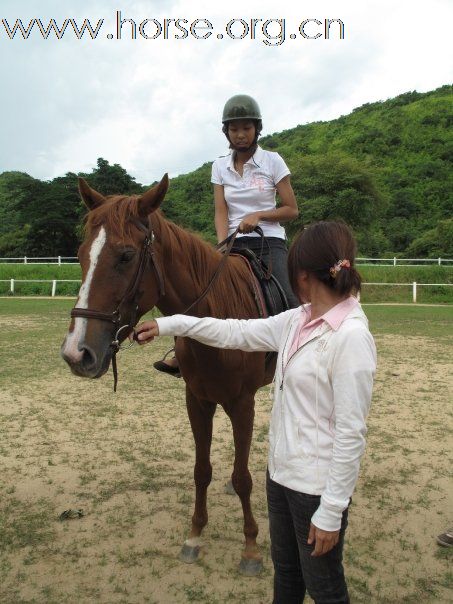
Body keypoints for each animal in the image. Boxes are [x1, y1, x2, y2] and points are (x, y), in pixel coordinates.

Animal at [61, 176, 276, 576]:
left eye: (126, 256)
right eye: (81, 255)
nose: (76, 353)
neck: (217, 321)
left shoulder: (242, 403)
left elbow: (243, 478)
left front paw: (251, 549)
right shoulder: (198, 401)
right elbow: (202, 470)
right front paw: (194, 536)